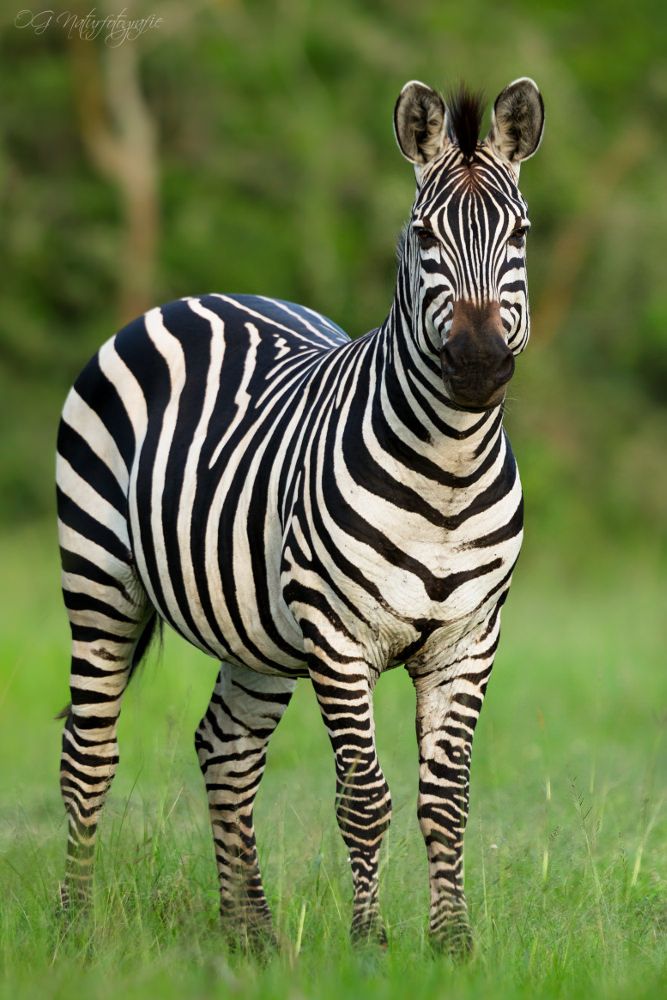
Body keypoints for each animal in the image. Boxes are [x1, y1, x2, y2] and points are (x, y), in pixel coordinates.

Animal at [56, 78, 544, 952]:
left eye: (518, 233)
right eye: (422, 236)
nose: (478, 365)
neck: (448, 477)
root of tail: (201, 296)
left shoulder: (467, 639)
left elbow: (445, 801)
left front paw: (452, 947)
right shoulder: (339, 638)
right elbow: (364, 799)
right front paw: (371, 947)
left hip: (257, 630)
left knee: (225, 749)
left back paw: (249, 935)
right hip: (99, 576)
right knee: (89, 749)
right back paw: (75, 925)